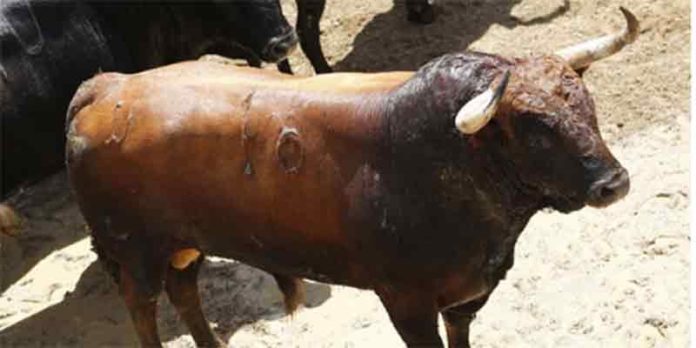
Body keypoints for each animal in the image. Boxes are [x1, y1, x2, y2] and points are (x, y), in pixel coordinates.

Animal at [68, 8, 640, 348]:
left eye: (586, 105)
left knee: (184, 291)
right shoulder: (406, 301)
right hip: (134, 252)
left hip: (184, 244)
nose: (614, 183)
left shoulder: (465, 299)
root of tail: (106, 86)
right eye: (535, 127)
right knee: (143, 307)